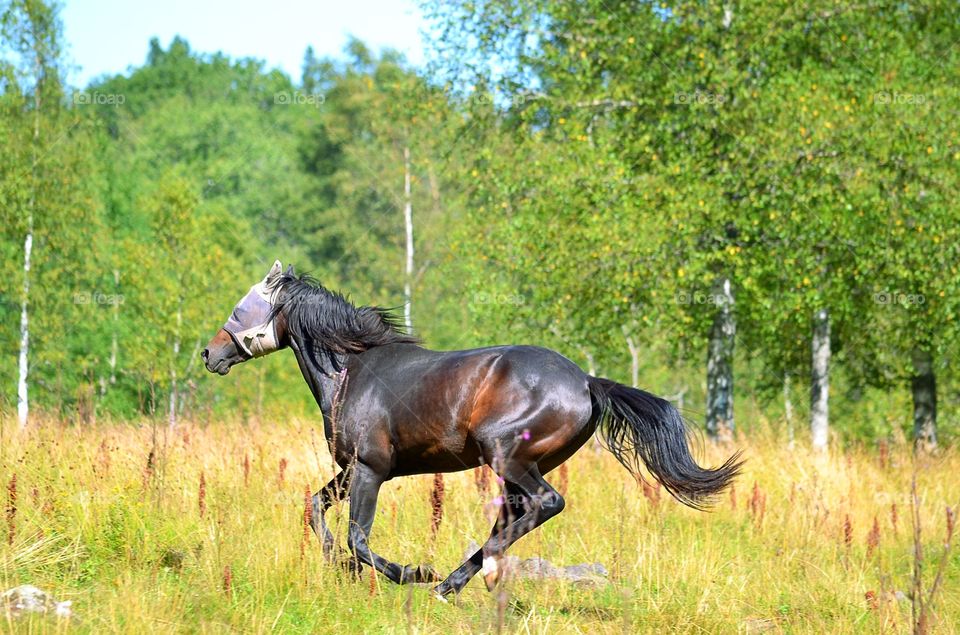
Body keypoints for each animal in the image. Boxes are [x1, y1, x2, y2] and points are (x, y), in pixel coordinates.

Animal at [201, 260, 742, 598]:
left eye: (240, 308)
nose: (210, 353)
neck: (350, 371)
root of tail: (588, 382)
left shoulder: (371, 470)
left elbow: (359, 537)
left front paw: (409, 571)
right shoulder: (353, 468)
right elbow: (315, 507)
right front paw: (341, 566)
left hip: (505, 456)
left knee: (543, 505)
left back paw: (453, 580)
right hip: (517, 465)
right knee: (516, 515)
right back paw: (459, 579)